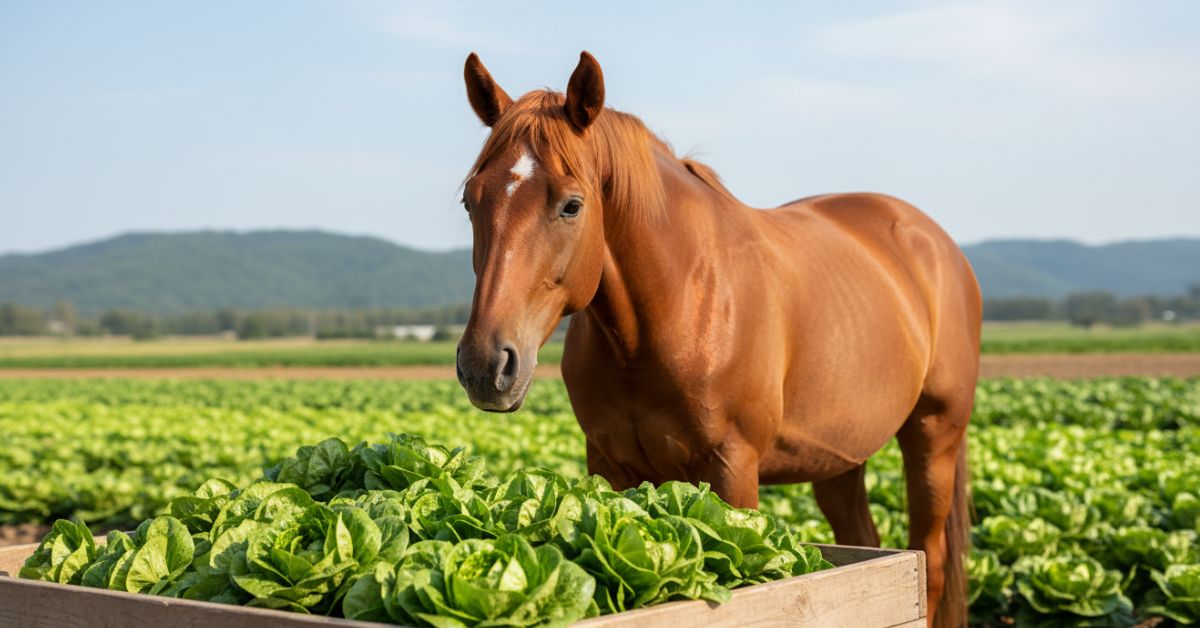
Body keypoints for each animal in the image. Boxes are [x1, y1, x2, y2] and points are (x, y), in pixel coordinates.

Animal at [454, 51, 981, 627]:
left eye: (571, 205)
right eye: (470, 202)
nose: (485, 364)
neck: (675, 308)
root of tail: (933, 242)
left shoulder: (732, 470)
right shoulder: (610, 465)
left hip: (933, 436)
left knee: (931, 561)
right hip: (839, 458)